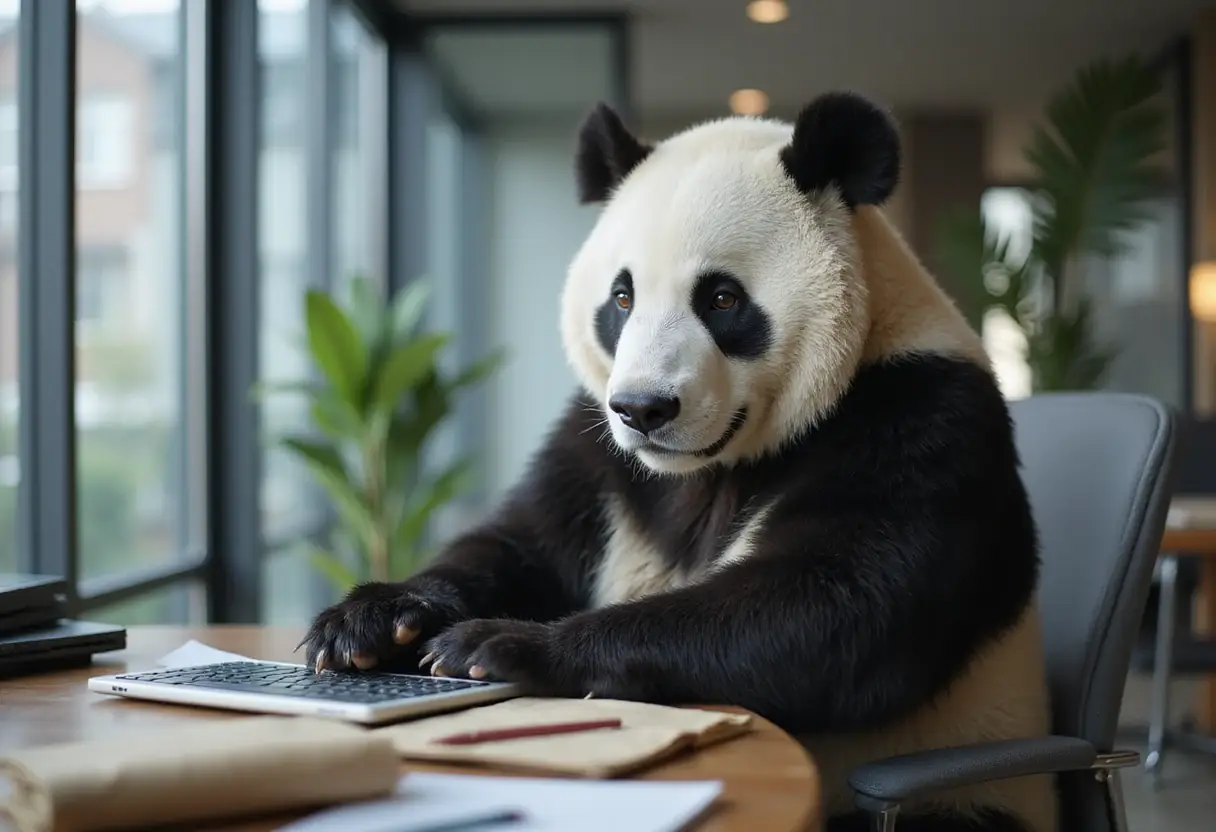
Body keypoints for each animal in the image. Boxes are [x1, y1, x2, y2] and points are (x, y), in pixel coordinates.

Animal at [300, 91, 1057, 832]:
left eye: (722, 298)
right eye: (622, 297)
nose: (644, 408)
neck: (707, 466)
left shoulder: (920, 416)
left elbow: (841, 604)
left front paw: (500, 645)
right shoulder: (593, 445)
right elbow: (524, 546)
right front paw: (370, 622)